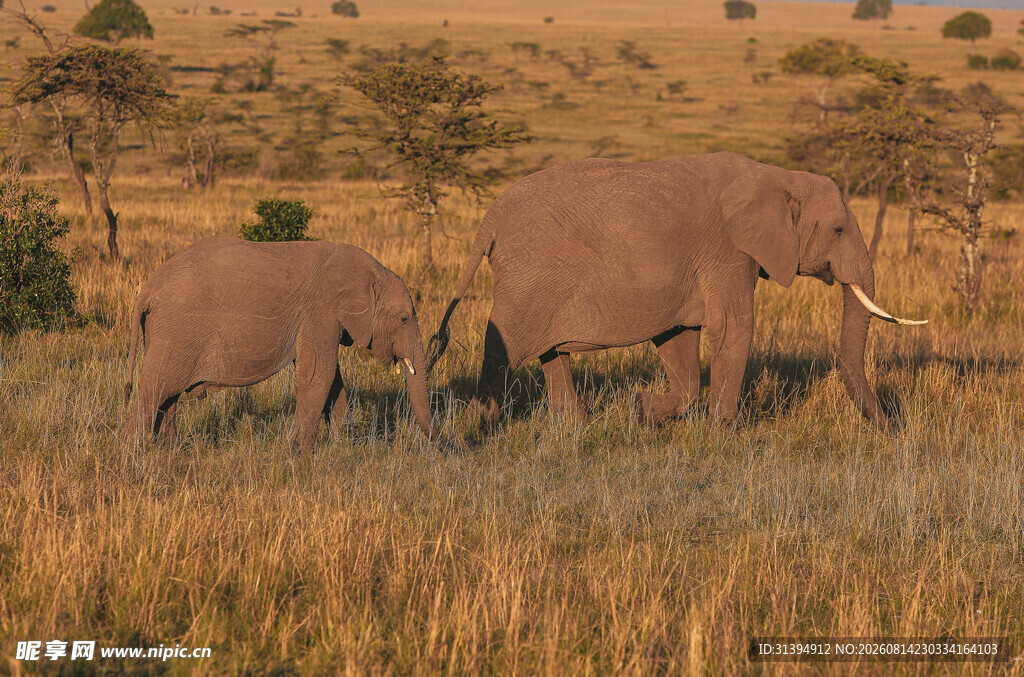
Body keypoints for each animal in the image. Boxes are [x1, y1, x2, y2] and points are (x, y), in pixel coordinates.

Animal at [124, 235, 437, 452]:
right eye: (404, 319)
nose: (444, 448)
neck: (369, 269)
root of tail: (148, 289)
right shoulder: (320, 312)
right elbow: (319, 375)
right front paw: (300, 452)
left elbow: (333, 381)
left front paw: (342, 446)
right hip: (176, 330)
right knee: (155, 389)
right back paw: (136, 450)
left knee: (168, 395)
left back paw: (171, 449)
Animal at [428, 152, 925, 432]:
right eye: (839, 229)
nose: (893, 430)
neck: (775, 176)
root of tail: (489, 219)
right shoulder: (727, 250)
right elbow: (734, 327)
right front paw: (724, 436)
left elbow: (679, 341)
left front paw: (640, 412)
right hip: (528, 276)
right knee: (505, 349)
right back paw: (477, 428)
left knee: (553, 354)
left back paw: (576, 428)